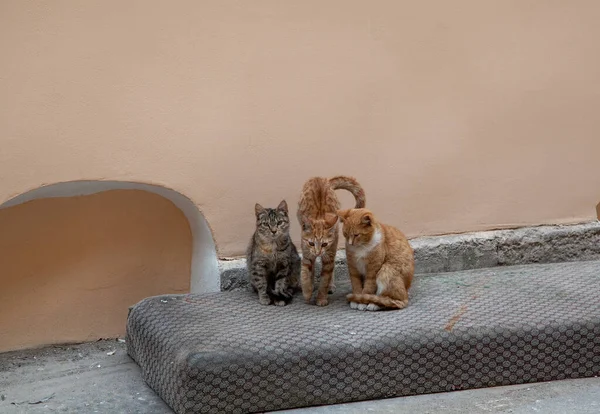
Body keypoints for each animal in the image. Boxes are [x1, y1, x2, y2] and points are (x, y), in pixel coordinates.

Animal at [296, 176, 366, 306]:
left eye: (324, 244)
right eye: (311, 243)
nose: (318, 252)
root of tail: (322, 179)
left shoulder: (329, 257)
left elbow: (324, 280)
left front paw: (321, 298)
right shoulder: (307, 255)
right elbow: (305, 274)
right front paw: (307, 291)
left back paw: (330, 285)